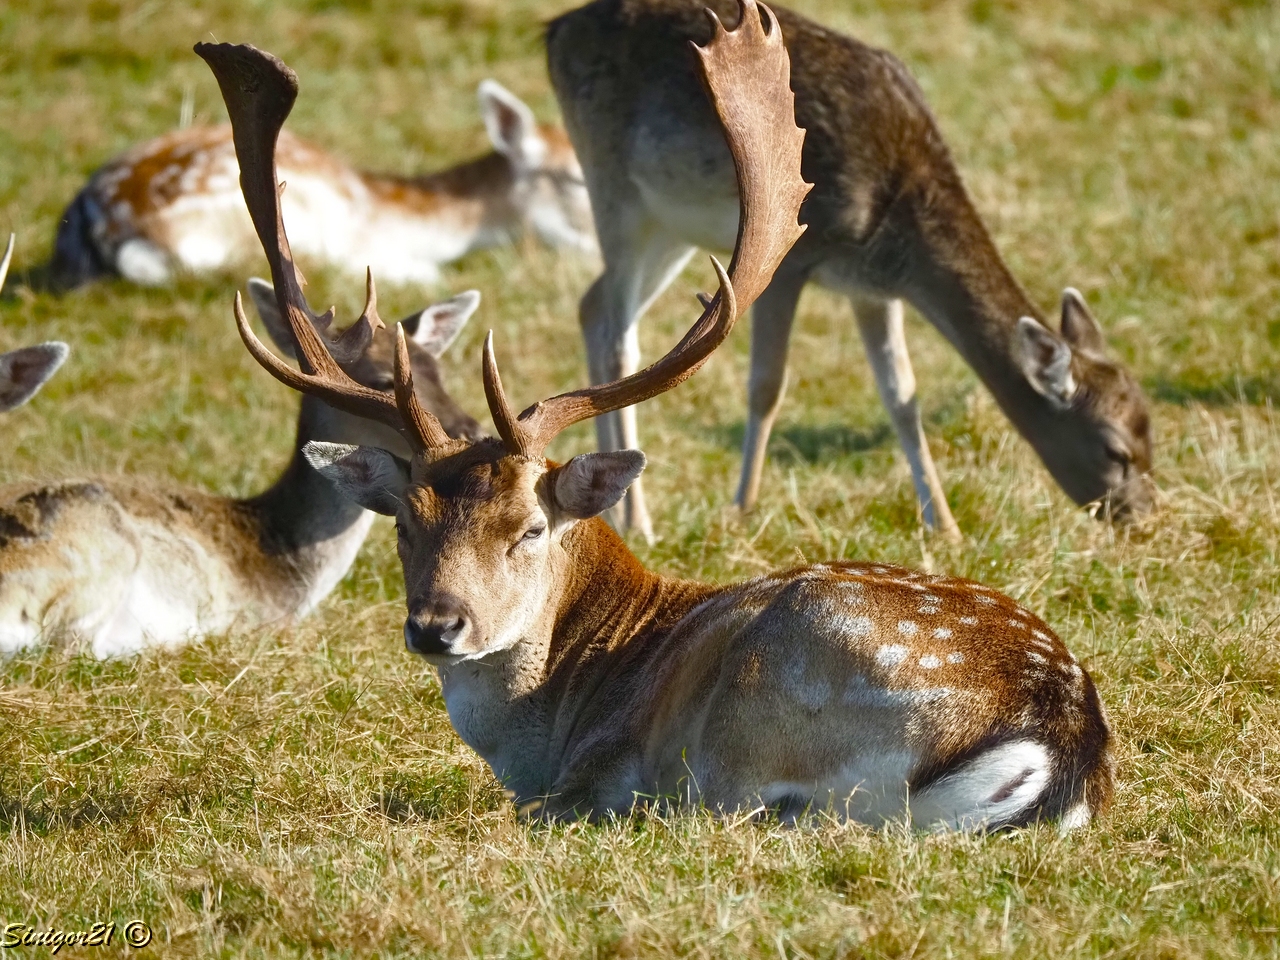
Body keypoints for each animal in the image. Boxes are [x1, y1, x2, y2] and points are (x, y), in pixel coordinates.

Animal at [545, 0, 1157, 542]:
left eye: (1152, 431)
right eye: (1115, 449)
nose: (1145, 520)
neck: (893, 225)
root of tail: (553, 31)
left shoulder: (872, 290)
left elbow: (903, 396)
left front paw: (946, 527)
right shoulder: (794, 258)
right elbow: (767, 385)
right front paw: (743, 509)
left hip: (670, 226)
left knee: (592, 305)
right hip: (613, 187)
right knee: (617, 329)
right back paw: (637, 520)